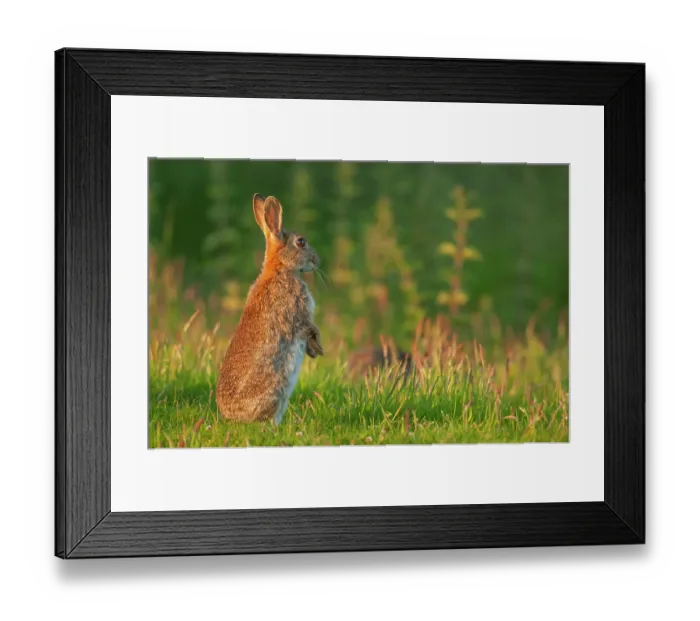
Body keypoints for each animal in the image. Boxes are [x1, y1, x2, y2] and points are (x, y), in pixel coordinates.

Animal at [216, 193, 324, 425]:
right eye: (301, 242)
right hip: (278, 387)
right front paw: (318, 349)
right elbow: (310, 329)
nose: (316, 260)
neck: (280, 268)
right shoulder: (300, 315)